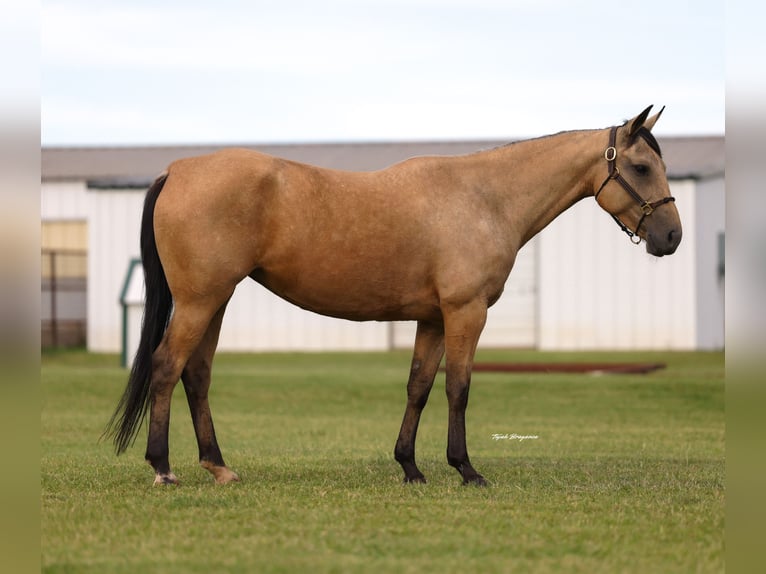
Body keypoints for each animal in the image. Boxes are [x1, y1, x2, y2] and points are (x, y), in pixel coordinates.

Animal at [105, 105, 682, 486]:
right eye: (640, 167)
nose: (672, 237)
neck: (485, 197)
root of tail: (177, 170)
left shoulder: (432, 318)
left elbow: (419, 387)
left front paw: (410, 466)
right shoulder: (465, 312)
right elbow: (458, 388)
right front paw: (465, 469)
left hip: (214, 302)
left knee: (196, 375)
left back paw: (218, 466)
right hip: (199, 301)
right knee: (166, 367)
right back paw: (163, 468)